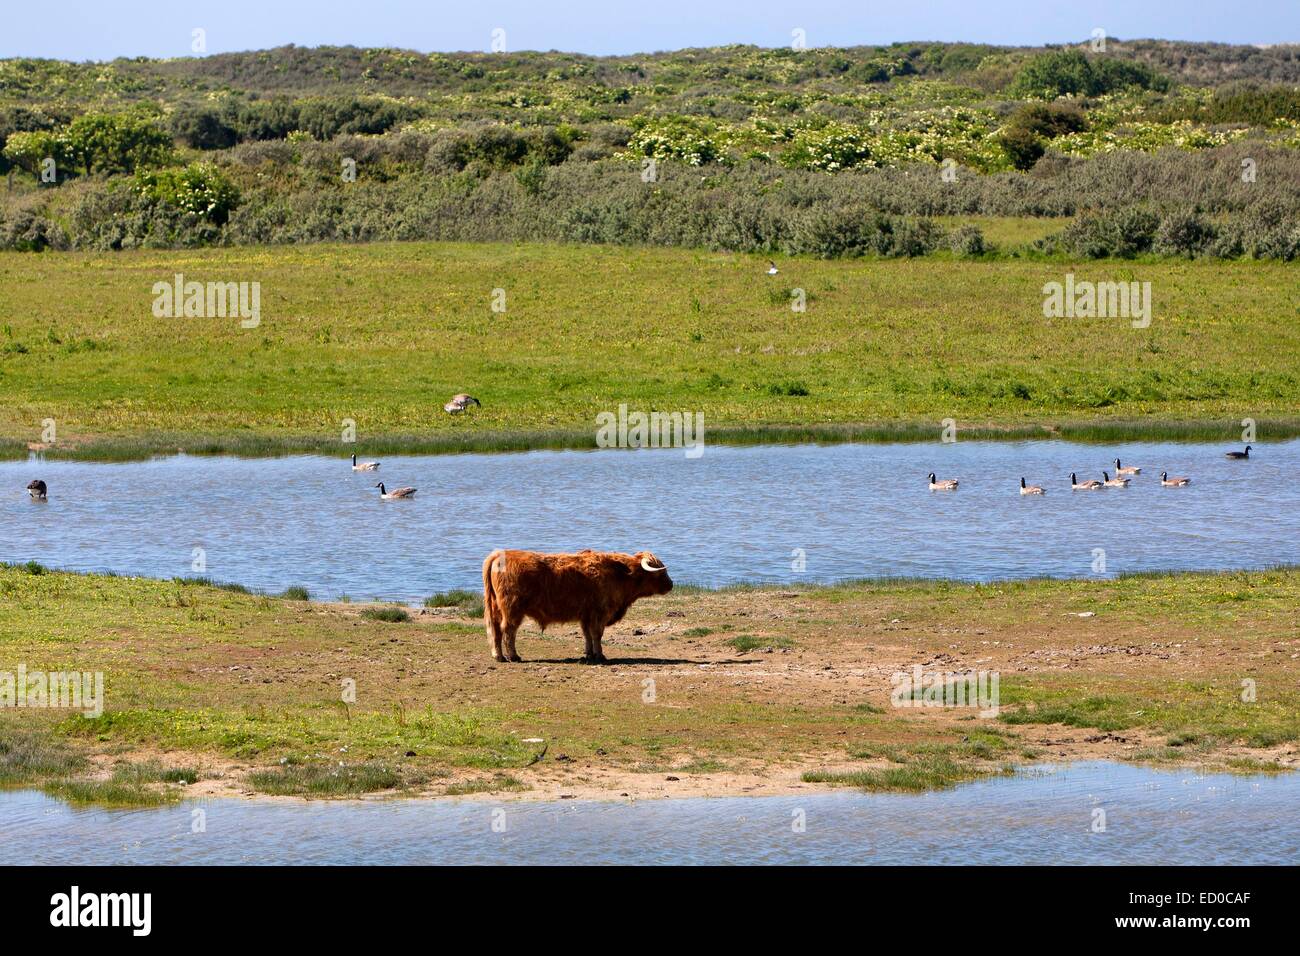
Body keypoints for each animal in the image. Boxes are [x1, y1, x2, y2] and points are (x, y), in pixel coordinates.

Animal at [482, 549, 672, 663]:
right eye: (660, 572)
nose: (671, 584)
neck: (621, 574)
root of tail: (499, 554)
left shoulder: (586, 614)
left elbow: (587, 634)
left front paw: (589, 654)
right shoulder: (600, 612)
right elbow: (597, 634)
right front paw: (600, 655)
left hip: (496, 607)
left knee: (496, 630)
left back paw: (498, 656)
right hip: (512, 609)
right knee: (508, 630)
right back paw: (513, 656)